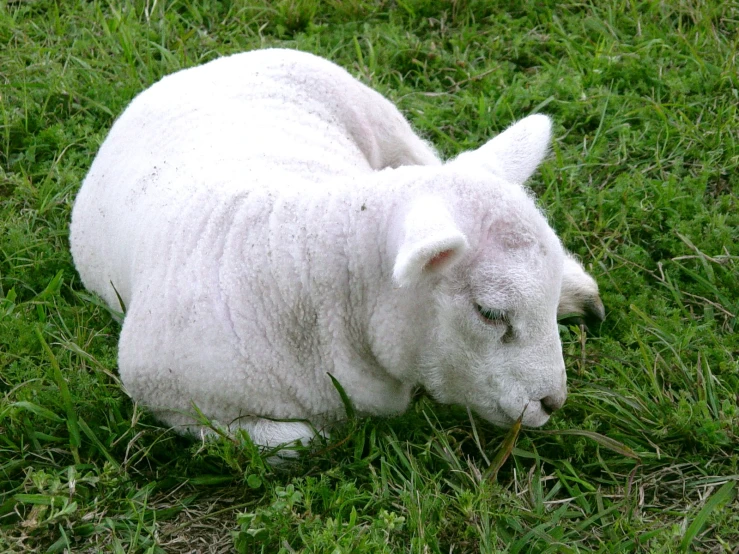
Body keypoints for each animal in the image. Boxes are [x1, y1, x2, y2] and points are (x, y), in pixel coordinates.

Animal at [69, 47, 604, 452]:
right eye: (490, 313)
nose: (553, 402)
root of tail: (207, 65)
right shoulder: (169, 399)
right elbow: (298, 442)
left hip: (385, 123)